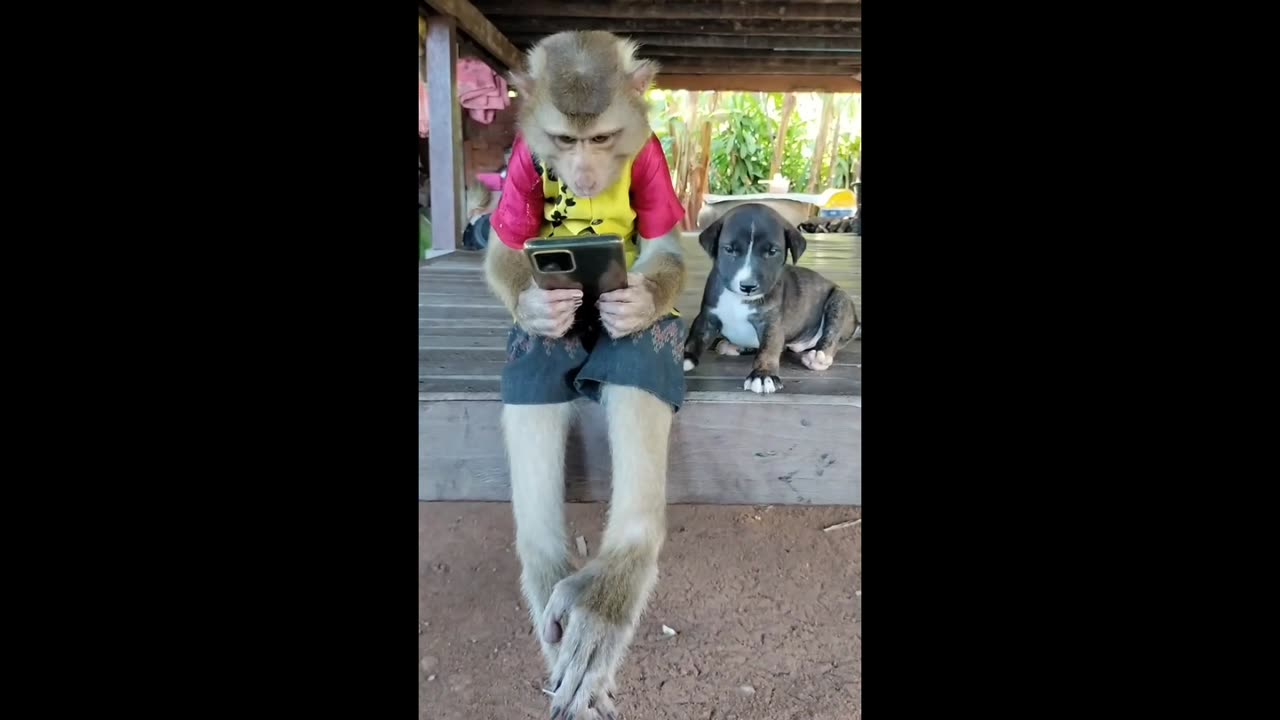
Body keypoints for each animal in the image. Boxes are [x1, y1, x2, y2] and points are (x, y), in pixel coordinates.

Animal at [481, 29, 686, 717]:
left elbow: (664, 247)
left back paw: (612, 580)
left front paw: (636, 302)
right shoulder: (523, 162)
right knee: (539, 356)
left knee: (639, 355)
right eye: (564, 141)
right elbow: (505, 248)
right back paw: (548, 572)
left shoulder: (651, 159)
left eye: (602, 139)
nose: (588, 175)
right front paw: (538, 305)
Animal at [686, 202, 855, 392]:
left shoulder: (771, 323)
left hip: (839, 300)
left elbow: (768, 348)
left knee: (832, 332)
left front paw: (763, 375)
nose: (748, 286)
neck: (738, 299)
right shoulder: (707, 316)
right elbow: (696, 337)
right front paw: (685, 356)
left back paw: (820, 356)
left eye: (772, 251)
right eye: (729, 250)